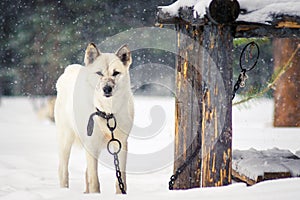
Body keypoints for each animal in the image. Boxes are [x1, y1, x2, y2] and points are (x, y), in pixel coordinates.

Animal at [54, 42, 134, 194]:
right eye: (99, 73)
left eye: (116, 73)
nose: (107, 89)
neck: (107, 113)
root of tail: (69, 70)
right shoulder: (91, 145)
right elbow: (95, 182)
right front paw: (96, 195)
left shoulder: (121, 143)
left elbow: (121, 180)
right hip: (66, 140)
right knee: (63, 171)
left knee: (86, 173)